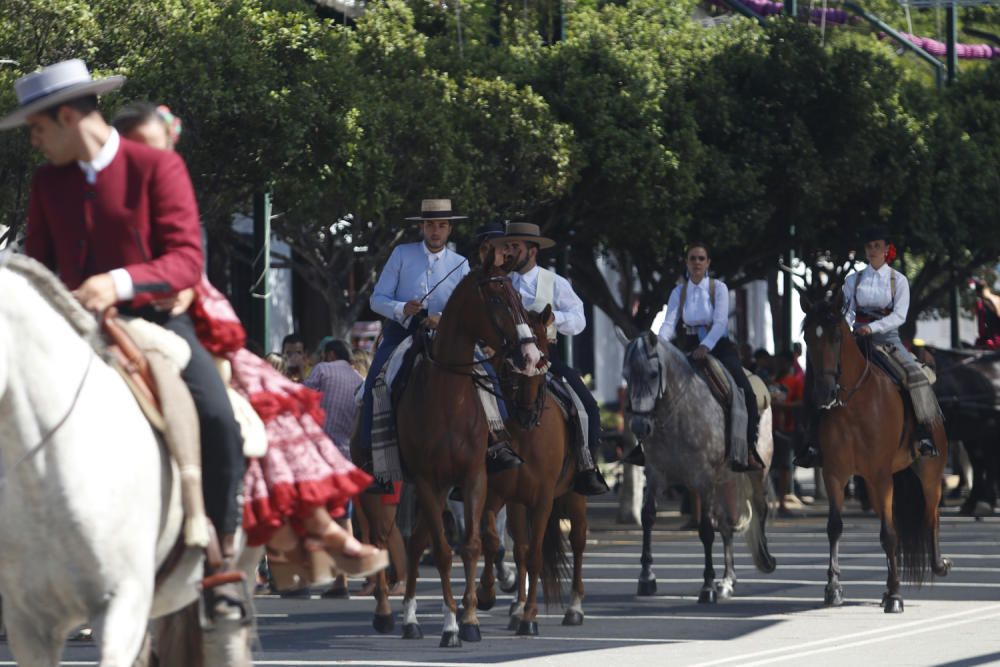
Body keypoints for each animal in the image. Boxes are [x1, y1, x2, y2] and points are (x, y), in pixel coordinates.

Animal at [474, 308, 588, 636]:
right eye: (511, 357)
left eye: (543, 356)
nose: (526, 411)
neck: (525, 434)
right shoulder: (498, 496)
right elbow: (496, 542)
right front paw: (487, 594)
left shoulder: (543, 500)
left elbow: (536, 556)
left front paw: (530, 617)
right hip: (517, 504)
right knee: (521, 549)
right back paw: (515, 607)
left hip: (575, 495)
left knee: (578, 541)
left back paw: (575, 607)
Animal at [620, 332, 776, 600]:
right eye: (626, 375)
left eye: (653, 373)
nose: (640, 426)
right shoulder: (656, 473)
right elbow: (648, 516)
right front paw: (646, 577)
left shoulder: (703, 478)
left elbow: (705, 529)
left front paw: (707, 586)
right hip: (725, 480)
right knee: (727, 523)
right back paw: (727, 581)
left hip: (757, 473)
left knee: (759, 507)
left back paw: (763, 559)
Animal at [796, 290, 952, 612]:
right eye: (807, 337)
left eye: (835, 337)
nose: (823, 393)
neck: (852, 404)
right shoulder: (835, 474)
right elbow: (835, 527)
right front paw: (833, 588)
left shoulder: (881, 476)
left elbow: (889, 535)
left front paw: (894, 596)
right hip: (872, 482)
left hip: (929, 472)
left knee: (931, 513)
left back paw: (938, 564)